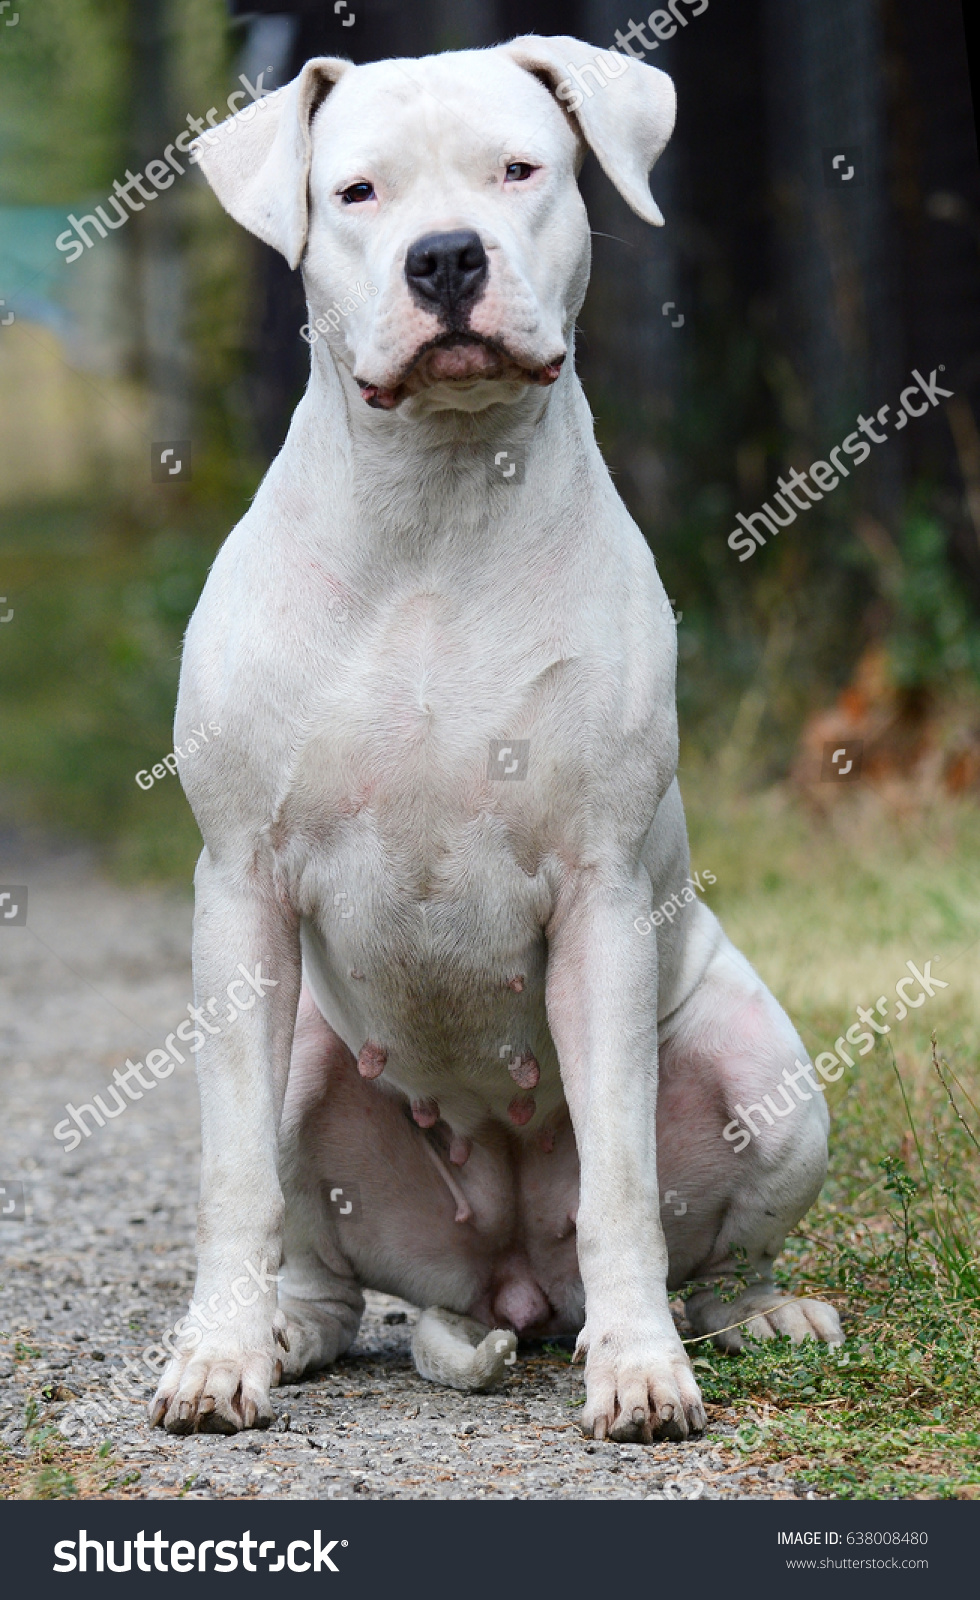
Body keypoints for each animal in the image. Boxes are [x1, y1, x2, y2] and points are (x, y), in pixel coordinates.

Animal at [152, 34, 839, 1440]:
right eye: (355, 192)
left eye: (519, 169)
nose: (445, 258)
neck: (436, 503)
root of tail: (507, 1280)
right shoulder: (240, 886)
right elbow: (232, 1171)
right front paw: (215, 1357)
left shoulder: (597, 895)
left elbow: (624, 1182)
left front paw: (639, 1369)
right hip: (308, 1059)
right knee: (321, 1255)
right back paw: (287, 1333)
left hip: (767, 1072)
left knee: (715, 1251)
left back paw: (747, 1316)